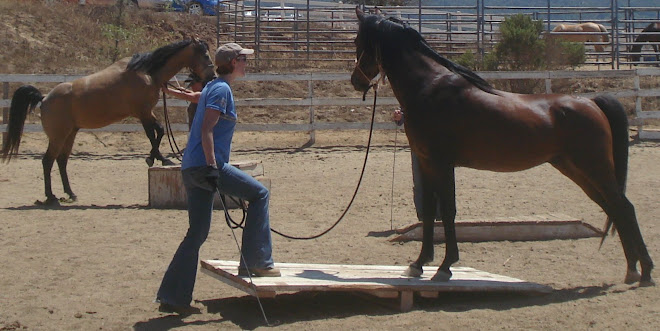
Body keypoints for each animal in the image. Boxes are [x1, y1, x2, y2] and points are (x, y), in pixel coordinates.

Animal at [1, 38, 215, 205]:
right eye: (205, 55)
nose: (212, 76)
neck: (146, 72)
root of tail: (44, 98)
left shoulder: (147, 113)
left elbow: (160, 131)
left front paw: (157, 158)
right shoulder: (143, 113)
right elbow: (153, 134)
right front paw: (157, 158)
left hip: (70, 134)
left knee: (61, 161)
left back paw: (70, 193)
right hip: (58, 137)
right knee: (47, 161)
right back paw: (51, 196)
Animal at [354, 8, 652, 288]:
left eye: (358, 41)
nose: (356, 81)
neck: (430, 88)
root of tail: (591, 102)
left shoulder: (442, 163)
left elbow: (448, 212)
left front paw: (445, 267)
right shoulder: (426, 163)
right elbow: (429, 212)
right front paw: (418, 264)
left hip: (595, 168)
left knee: (624, 207)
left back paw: (645, 272)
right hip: (577, 170)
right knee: (614, 208)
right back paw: (632, 270)